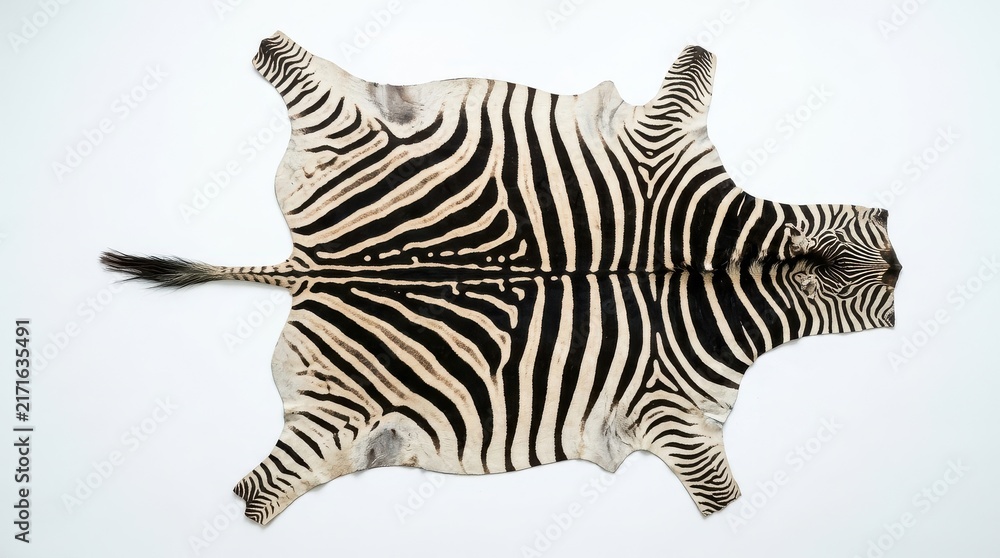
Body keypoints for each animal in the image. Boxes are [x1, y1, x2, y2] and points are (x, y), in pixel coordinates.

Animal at [101, 31, 901, 525]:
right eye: (867, 274)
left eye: (869, 244)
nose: (899, 264)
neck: (735, 264)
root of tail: (315, 264)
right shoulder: (676, 404)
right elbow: (687, 83)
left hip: (337, 414)